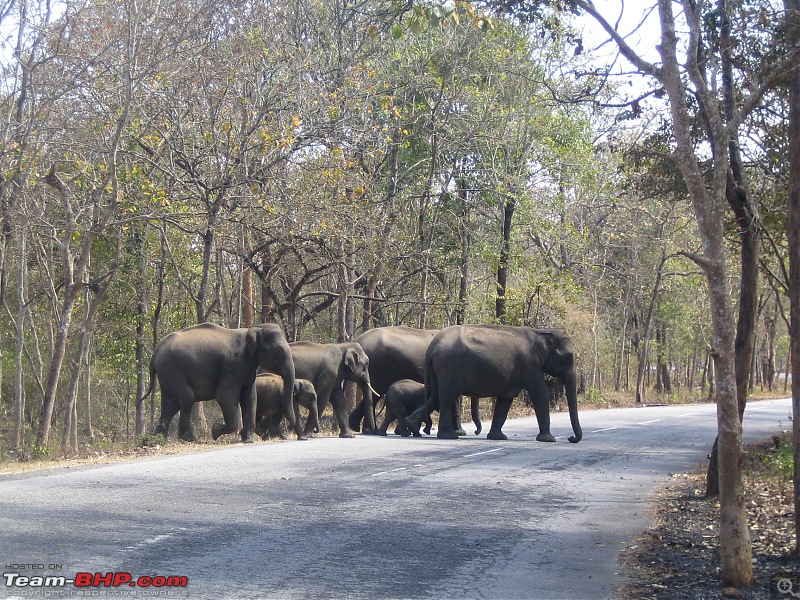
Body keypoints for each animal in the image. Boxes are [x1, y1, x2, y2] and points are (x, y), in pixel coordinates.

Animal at [141, 324, 296, 446]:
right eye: (278, 352)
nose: (289, 427)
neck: (252, 329)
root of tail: (155, 353)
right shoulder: (233, 365)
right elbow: (224, 396)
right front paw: (215, 431)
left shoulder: (247, 367)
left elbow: (250, 397)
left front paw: (249, 440)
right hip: (172, 370)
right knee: (186, 398)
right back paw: (189, 438)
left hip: (166, 374)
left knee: (171, 405)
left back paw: (154, 439)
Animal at [348, 328, 476, 436]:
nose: (475, 432)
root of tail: (358, 340)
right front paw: (460, 433)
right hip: (376, 368)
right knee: (375, 396)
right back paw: (370, 431)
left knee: (373, 396)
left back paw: (361, 428)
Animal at [406, 326, 580, 442]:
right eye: (569, 357)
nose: (571, 438)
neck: (539, 331)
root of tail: (432, 347)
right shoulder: (530, 364)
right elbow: (540, 393)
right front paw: (549, 439)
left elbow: (505, 399)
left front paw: (498, 437)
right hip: (449, 366)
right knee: (446, 397)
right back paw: (449, 436)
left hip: (438, 369)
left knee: (435, 397)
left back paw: (412, 427)